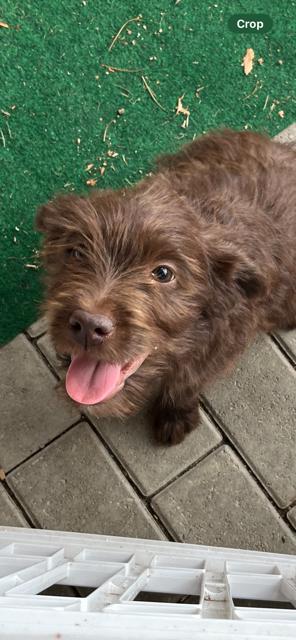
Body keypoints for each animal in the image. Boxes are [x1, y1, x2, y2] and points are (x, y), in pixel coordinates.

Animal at [36, 130, 296, 444]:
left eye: (163, 273)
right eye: (76, 252)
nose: (88, 324)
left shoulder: (218, 349)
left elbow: (186, 380)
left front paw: (175, 416)